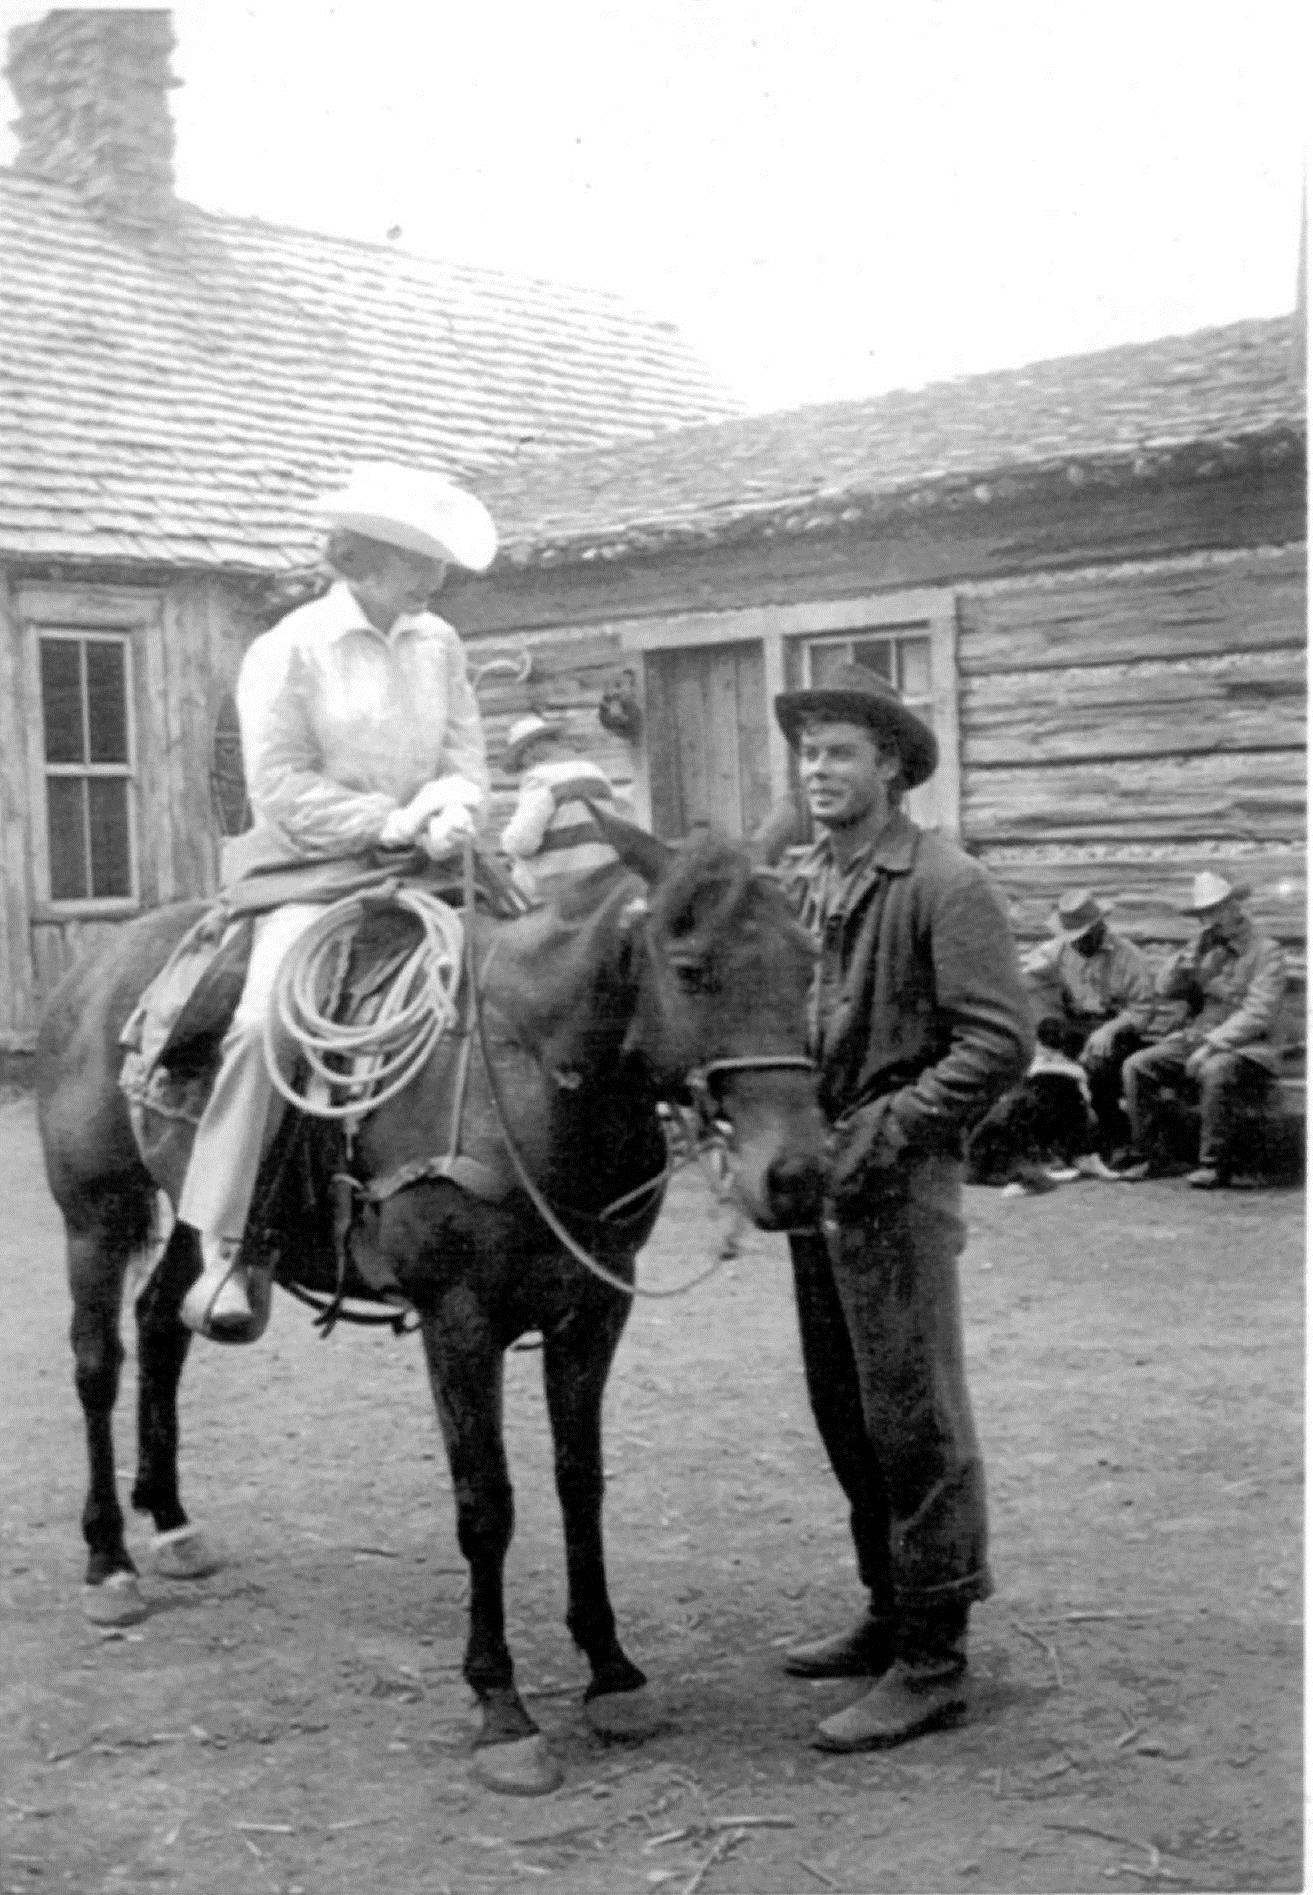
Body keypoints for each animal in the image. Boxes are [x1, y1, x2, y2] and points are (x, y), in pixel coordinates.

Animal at [35, 814, 826, 1788]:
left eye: (807, 959)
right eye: (690, 969)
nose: (796, 1175)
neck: (524, 1074)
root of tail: (96, 968)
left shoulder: (594, 1312)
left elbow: (581, 1482)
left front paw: (611, 1670)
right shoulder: (459, 1320)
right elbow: (485, 1502)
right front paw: (500, 1704)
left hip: (193, 1211)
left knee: (160, 1330)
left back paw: (174, 1523)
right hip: (94, 1216)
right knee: (97, 1365)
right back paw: (108, 1560)